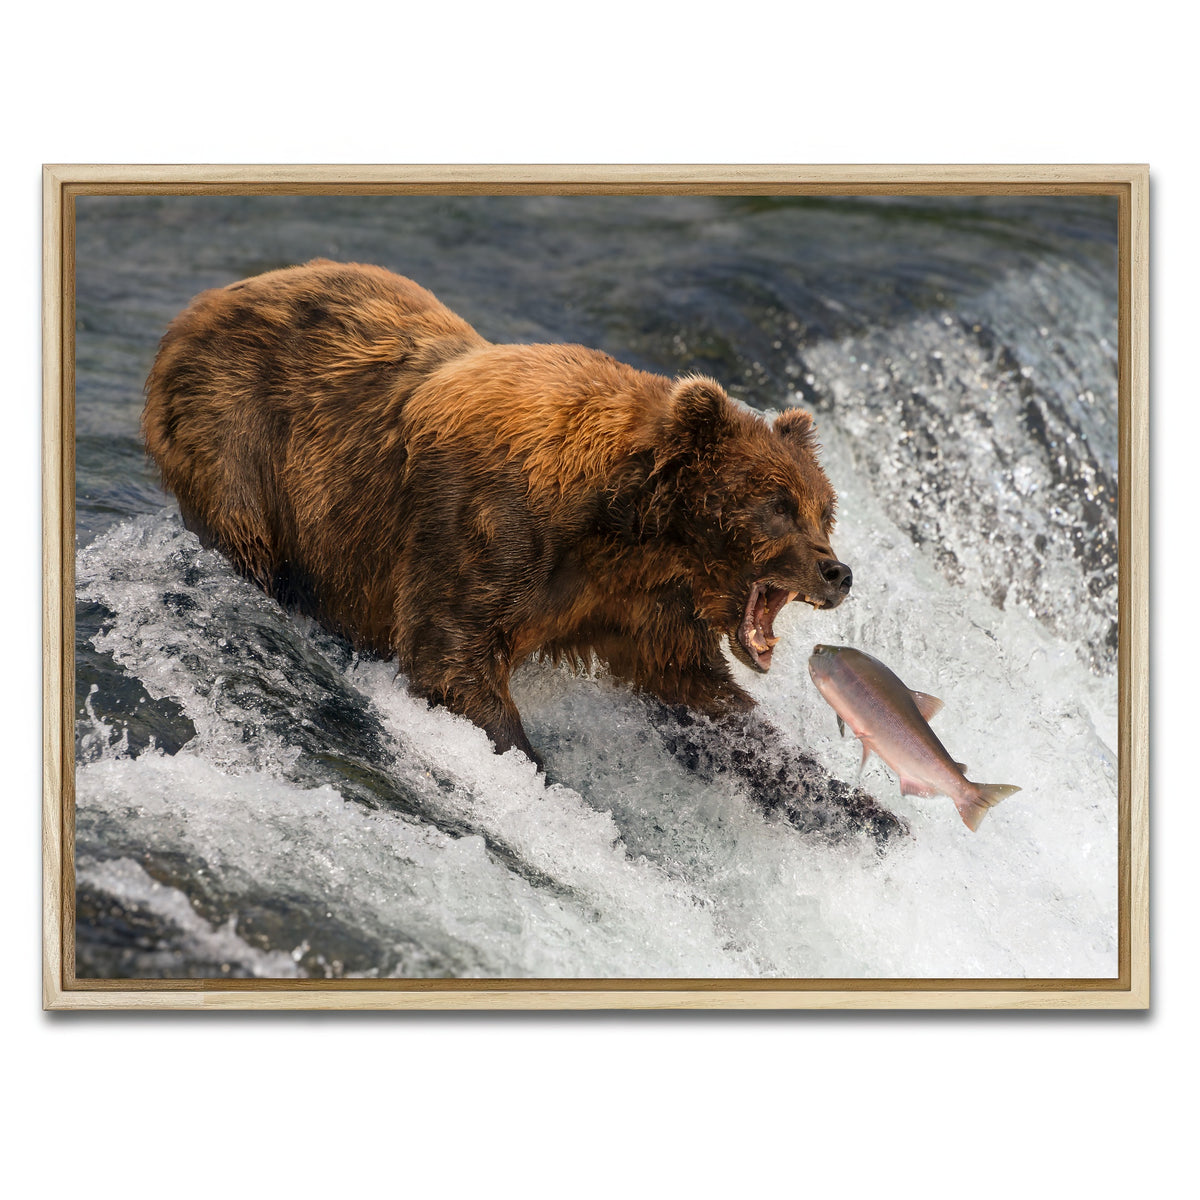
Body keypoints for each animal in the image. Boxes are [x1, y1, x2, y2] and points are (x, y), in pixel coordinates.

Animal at [143, 260, 903, 843]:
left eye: (824, 509)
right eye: (777, 504)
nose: (837, 570)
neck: (626, 527)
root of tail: (201, 305)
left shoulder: (636, 604)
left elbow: (703, 699)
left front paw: (863, 810)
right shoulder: (487, 527)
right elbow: (453, 656)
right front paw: (540, 778)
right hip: (242, 441)